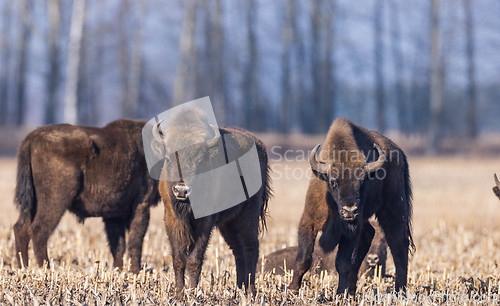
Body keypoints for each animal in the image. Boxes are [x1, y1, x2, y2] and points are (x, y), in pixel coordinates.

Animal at [13, 119, 158, 272]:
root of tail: (31, 138)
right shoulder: (141, 205)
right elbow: (135, 242)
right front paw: (134, 271)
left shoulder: (115, 213)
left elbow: (118, 245)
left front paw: (118, 270)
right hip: (54, 201)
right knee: (39, 230)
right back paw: (46, 268)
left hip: (32, 203)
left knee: (21, 229)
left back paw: (23, 267)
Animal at [150, 107, 272, 296]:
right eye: (169, 159)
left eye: (199, 161)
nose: (181, 190)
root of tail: (260, 146)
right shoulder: (171, 218)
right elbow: (178, 258)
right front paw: (179, 294)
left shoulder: (205, 222)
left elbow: (194, 259)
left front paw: (192, 293)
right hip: (229, 222)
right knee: (238, 250)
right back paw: (240, 288)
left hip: (248, 213)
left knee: (251, 246)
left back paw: (250, 291)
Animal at [288, 117, 412, 294]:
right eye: (333, 181)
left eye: (363, 182)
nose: (350, 211)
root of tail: (400, 154)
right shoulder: (309, 221)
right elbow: (303, 259)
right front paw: (292, 290)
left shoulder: (350, 230)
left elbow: (342, 263)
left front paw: (340, 293)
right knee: (369, 235)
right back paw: (353, 290)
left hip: (393, 209)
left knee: (398, 245)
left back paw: (399, 291)